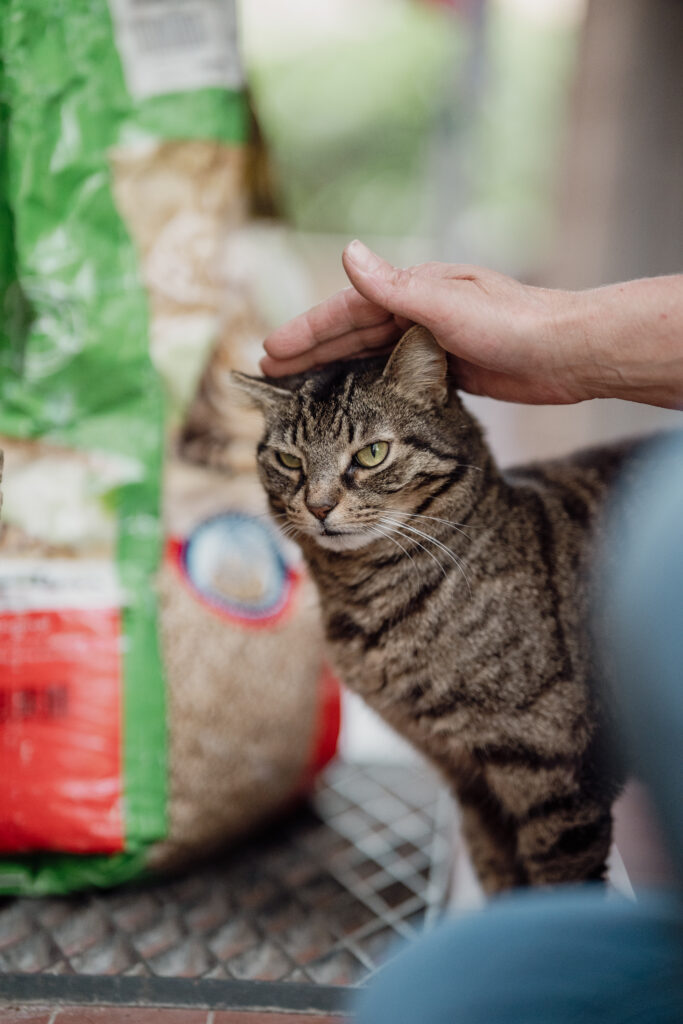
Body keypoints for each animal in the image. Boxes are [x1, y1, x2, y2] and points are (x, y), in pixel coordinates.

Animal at [233, 325, 634, 888]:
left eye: (372, 454)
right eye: (290, 461)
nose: (318, 506)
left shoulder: (559, 783)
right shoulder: (469, 781)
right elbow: (497, 875)